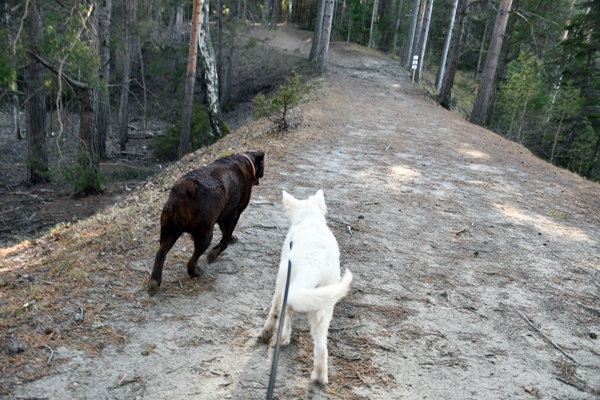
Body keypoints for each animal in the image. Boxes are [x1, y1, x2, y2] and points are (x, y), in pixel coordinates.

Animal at [146, 152, 264, 296]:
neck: (246, 162)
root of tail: (186, 189)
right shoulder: (233, 215)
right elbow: (224, 240)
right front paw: (214, 253)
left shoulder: (223, 216)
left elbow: (225, 232)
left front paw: (231, 239)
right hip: (205, 234)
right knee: (191, 263)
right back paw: (196, 272)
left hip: (170, 231)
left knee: (161, 253)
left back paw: (154, 282)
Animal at [258, 190, 352, 384]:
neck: (310, 218)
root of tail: (314, 264)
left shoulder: (282, 284)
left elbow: (276, 311)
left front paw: (267, 333)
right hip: (323, 309)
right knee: (322, 348)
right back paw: (319, 378)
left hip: (288, 283)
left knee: (284, 315)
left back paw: (281, 338)